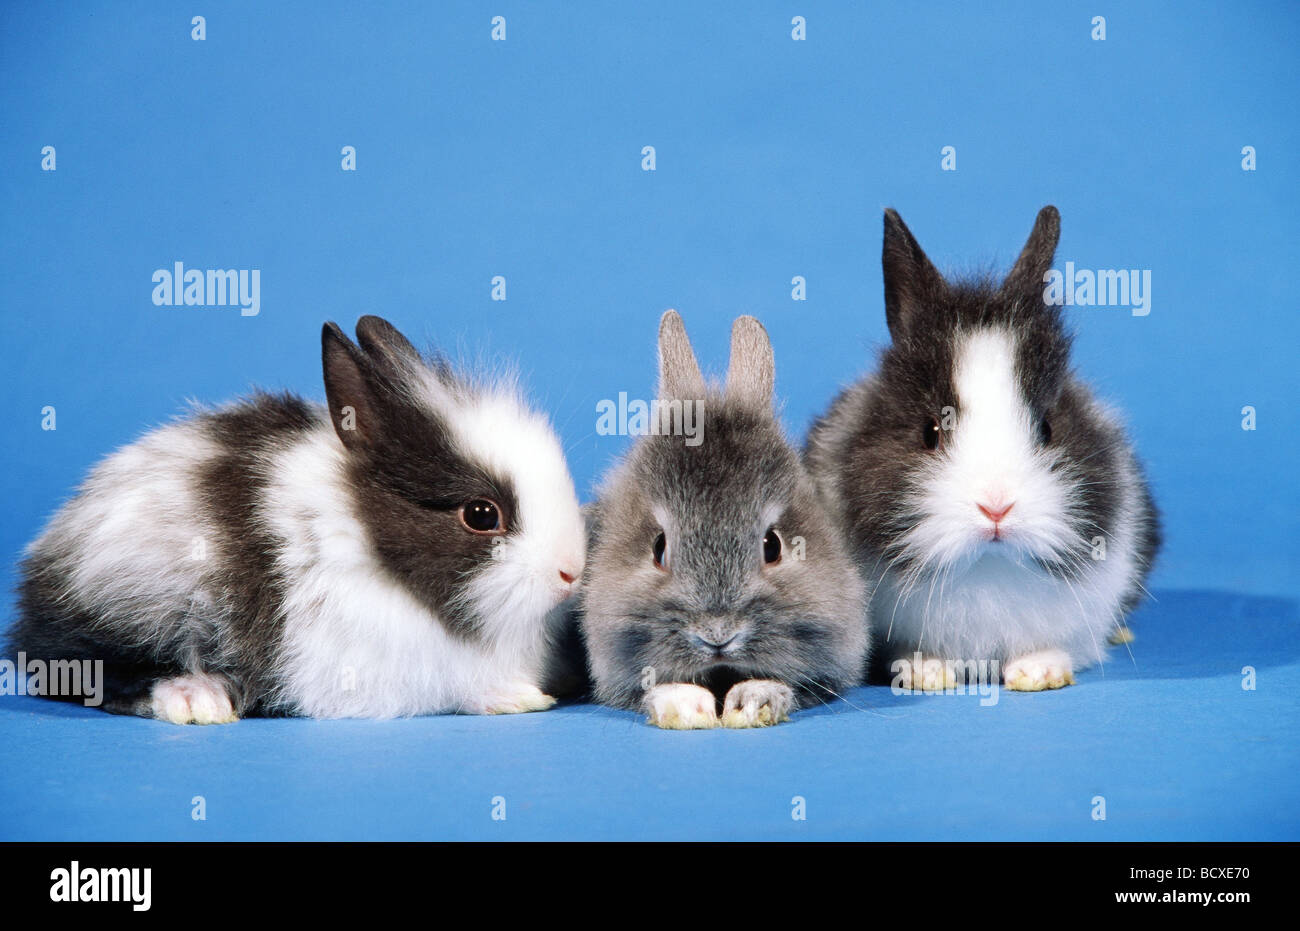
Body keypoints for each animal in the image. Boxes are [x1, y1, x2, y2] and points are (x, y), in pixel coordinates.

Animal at [9, 315, 587, 723]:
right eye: (482, 515)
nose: (571, 573)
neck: (365, 537)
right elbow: (456, 685)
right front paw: (519, 697)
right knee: (88, 670)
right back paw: (197, 698)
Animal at [805, 206, 1161, 692]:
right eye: (931, 431)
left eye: (1047, 428)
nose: (996, 508)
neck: (987, 568)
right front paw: (924, 672)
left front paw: (1040, 671)